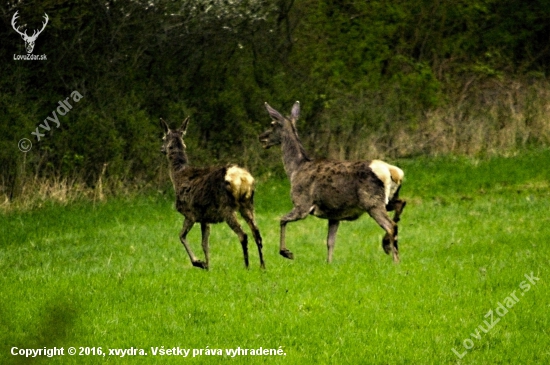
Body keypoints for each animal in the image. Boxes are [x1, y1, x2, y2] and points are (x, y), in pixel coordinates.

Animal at [161, 117, 266, 270]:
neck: (177, 176)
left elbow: (181, 236)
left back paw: (247, 266)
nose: (161, 149)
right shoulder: (205, 218)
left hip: (226, 207)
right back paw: (262, 266)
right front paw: (207, 266)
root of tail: (243, 178)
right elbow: (205, 244)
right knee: (256, 233)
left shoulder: (190, 213)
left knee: (243, 235)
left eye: (163, 138)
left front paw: (199, 263)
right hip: (248, 204)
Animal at [258, 101, 406, 264]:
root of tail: (393, 171)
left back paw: (395, 259)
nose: (261, 137)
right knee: (401, 204)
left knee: (391, 226)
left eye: (272, 124)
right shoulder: (334, 215)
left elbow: (282, 219)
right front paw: (329, 263)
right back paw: (387, 245)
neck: (295, 169)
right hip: (387, 200)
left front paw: (286, 252)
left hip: (372, 202)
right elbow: (330, 241)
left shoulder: (302, 204)